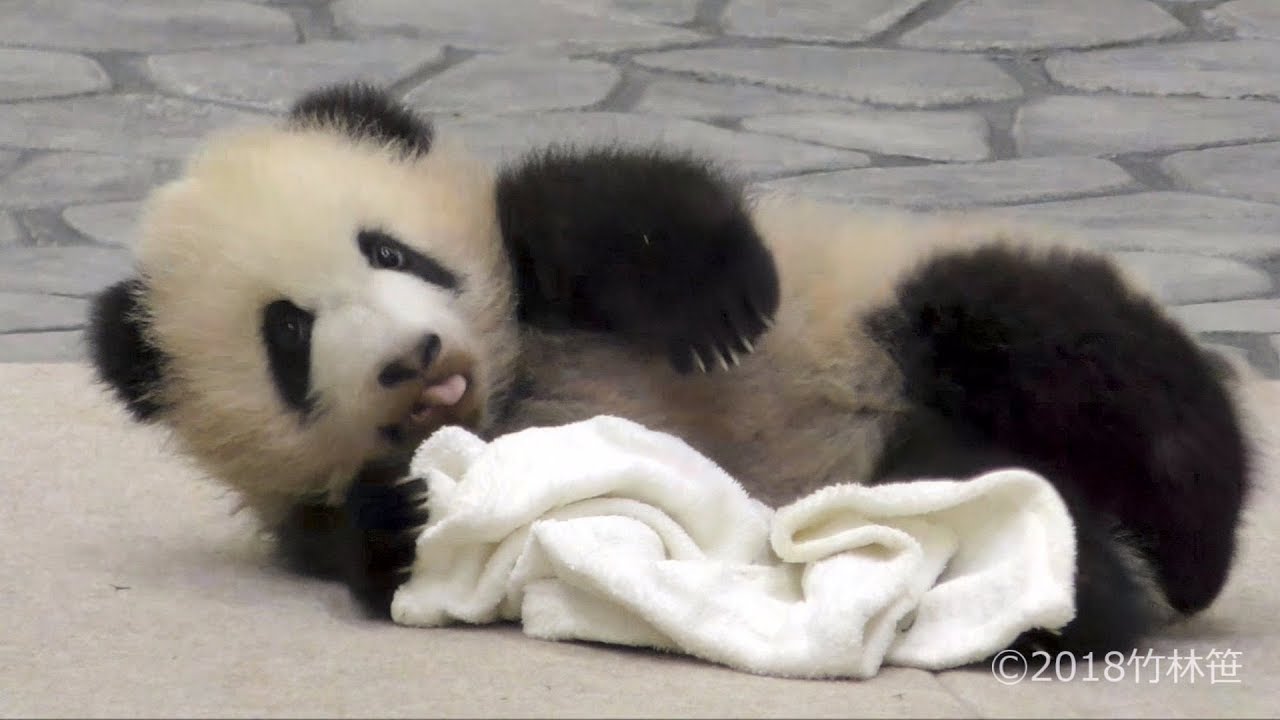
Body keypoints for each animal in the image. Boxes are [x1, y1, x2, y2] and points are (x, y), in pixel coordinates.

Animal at [87, 82, 1253, 658]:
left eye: (392, 252)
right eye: (288, 334)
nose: (412, 356)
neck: (513, 381)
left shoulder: (535, 263)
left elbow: (598, 200)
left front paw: (715, 304)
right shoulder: (308, 515)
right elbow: (365, 548)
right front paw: (409, 513)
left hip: (893, 319)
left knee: (1053, 334)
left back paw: (1192, 528)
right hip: (918, 470)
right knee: (999, 526)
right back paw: (1080, 585)